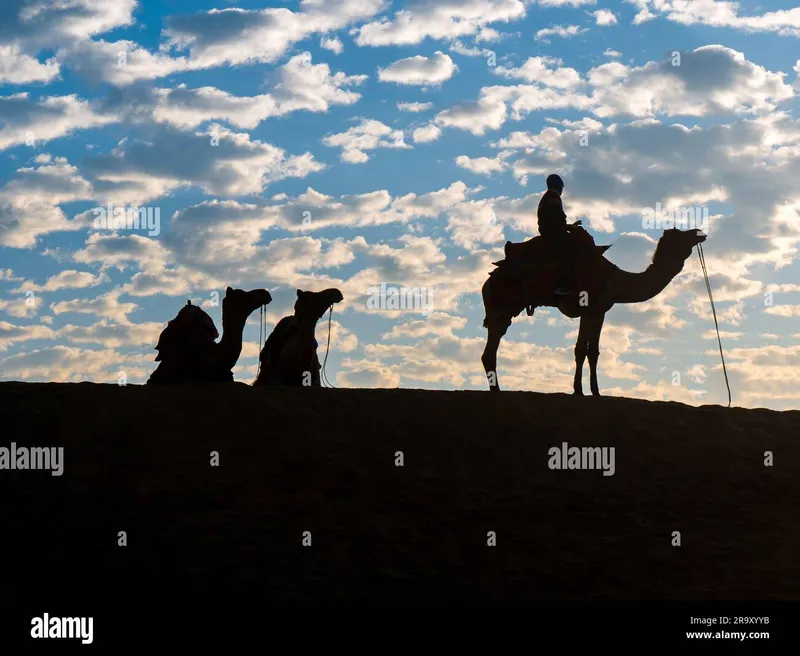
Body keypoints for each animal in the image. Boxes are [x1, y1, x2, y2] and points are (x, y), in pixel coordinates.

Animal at [482, 228, 708, 394]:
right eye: (681, 234)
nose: (699, 232)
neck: (617, 281)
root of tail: (488, 281)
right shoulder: (591, 309)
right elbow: (582, 349)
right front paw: (581, 390)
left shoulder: (598, 311)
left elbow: (592, 351)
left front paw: (593, 391)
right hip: (503, 306)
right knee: (491, 346)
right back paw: (497, 390)